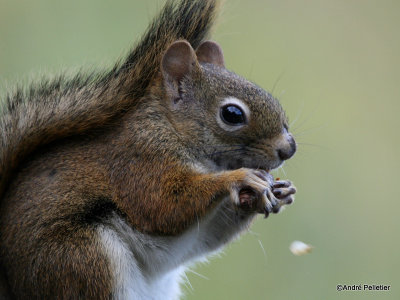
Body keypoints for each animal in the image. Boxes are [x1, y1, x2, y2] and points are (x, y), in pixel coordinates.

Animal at [0, 1, 296, 298]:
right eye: (232, 114)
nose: (288, 148)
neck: (171, 128)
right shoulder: (139, 162)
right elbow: (163, 204)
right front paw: (240, 178)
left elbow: (210, 232)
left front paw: (279, 191)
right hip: (84, 259)